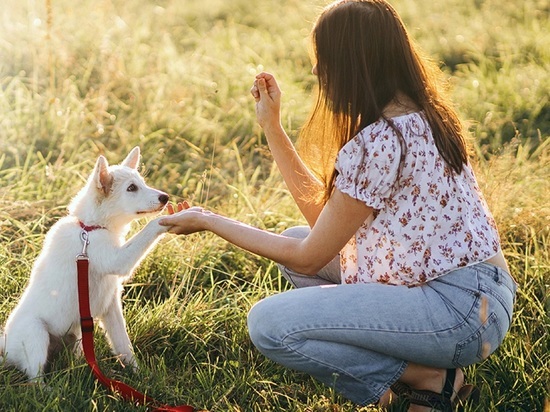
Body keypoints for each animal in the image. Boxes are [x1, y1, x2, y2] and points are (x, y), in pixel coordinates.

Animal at [0, 146, 170, 382]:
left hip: (77, 335)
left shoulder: (111, 305)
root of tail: (4, 348)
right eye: (132, 188)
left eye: (142, 183)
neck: (89, 228)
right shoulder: (117, 260)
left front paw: (140, 375)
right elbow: (149, 229)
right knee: (34, 377)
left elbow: (123, 344)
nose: (166, 197)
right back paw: (47, 387)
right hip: (37, 334)